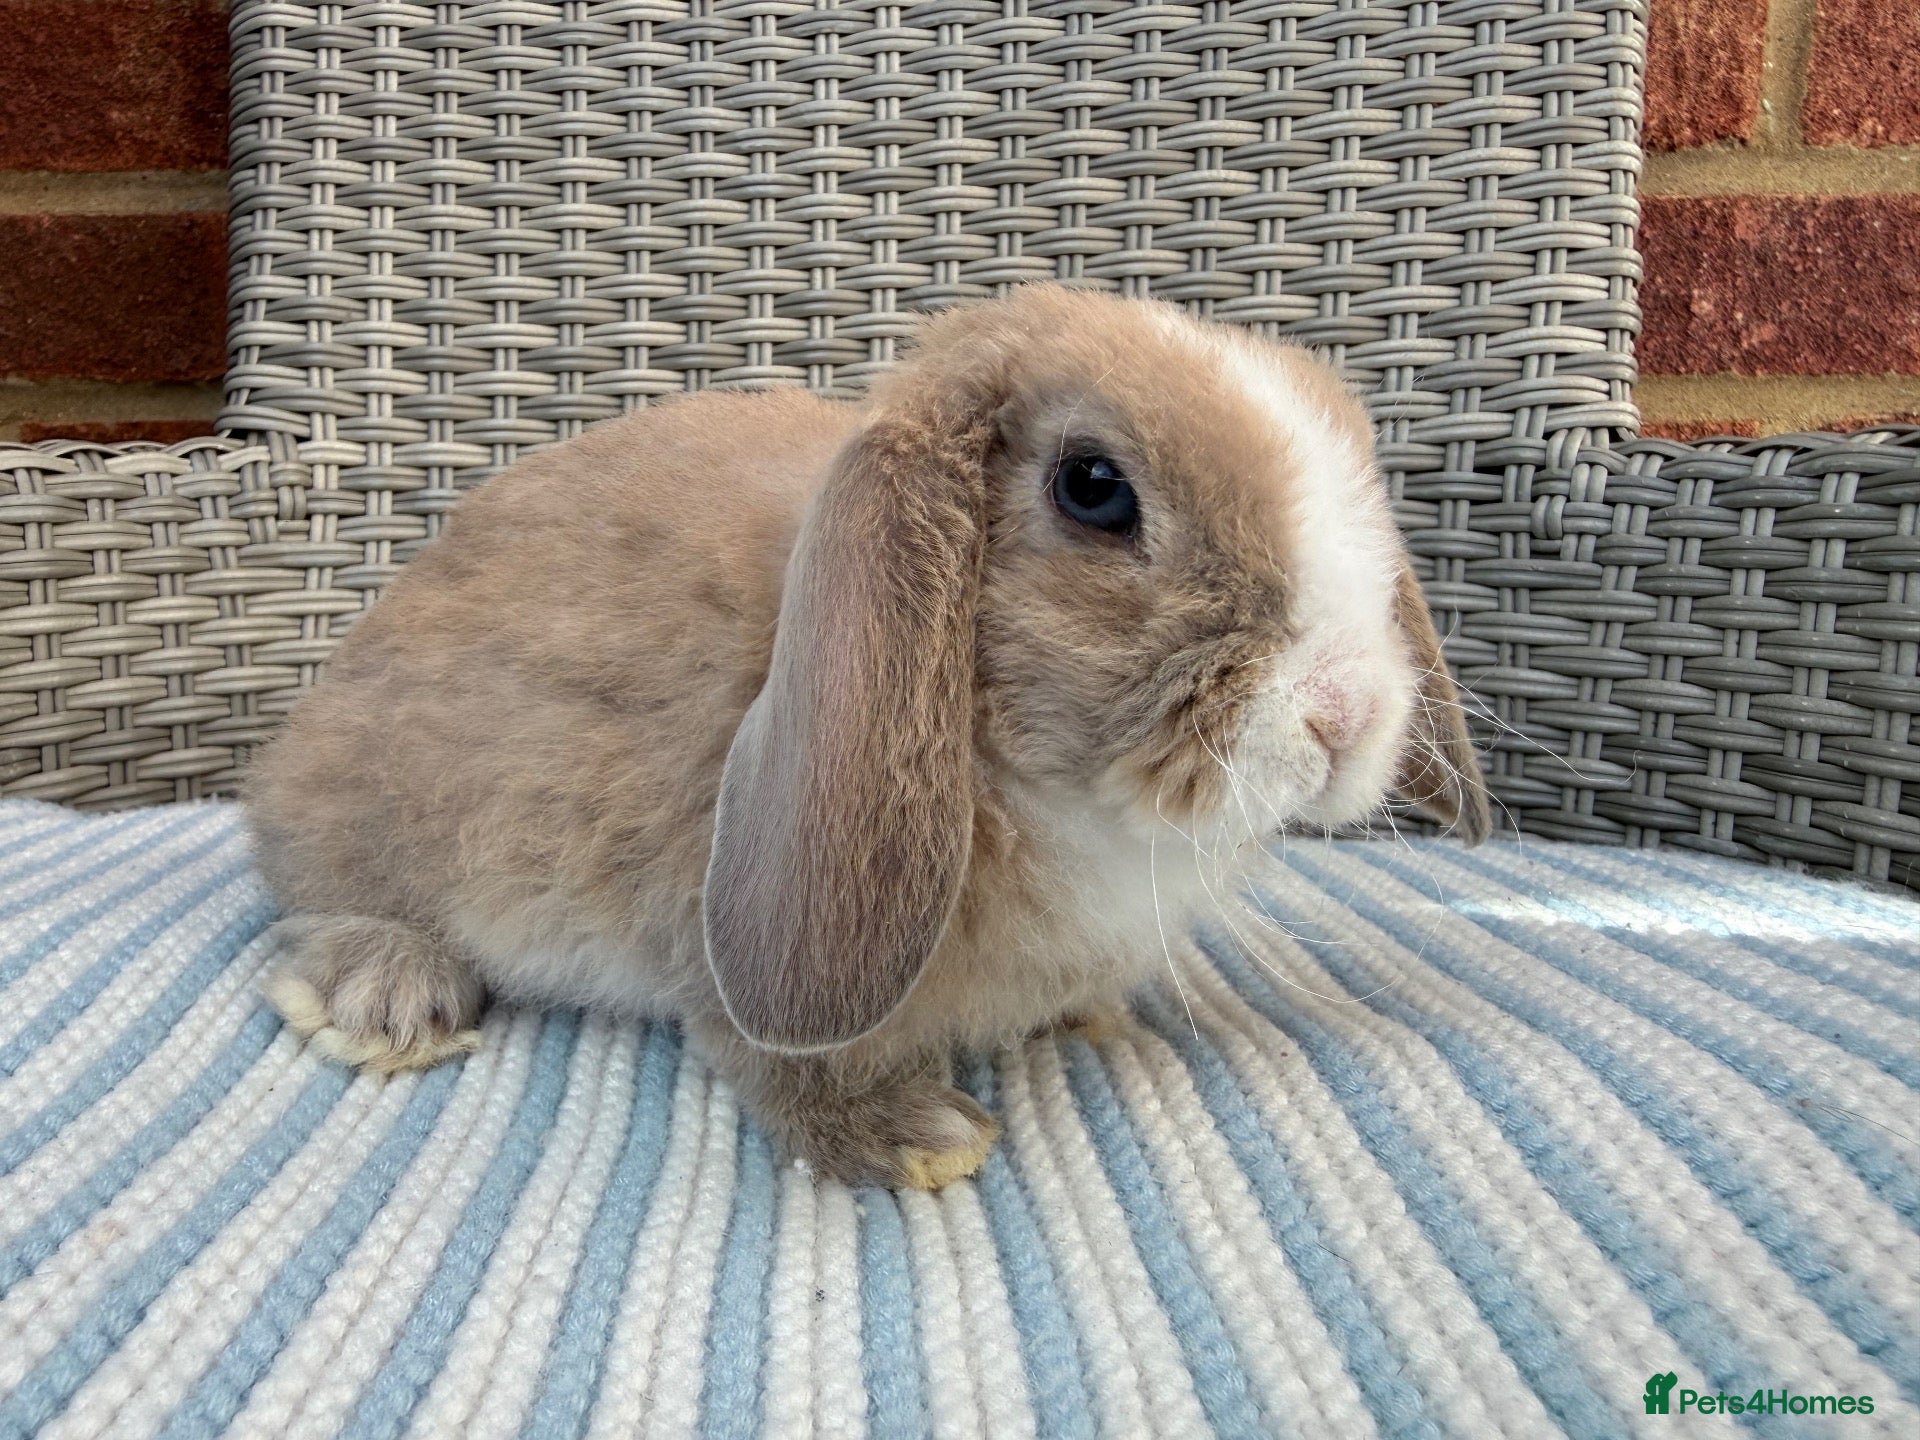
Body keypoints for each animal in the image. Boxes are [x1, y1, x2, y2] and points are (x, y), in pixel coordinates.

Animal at [245, 284, 1490, 1189]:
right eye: (1094, 488)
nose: (1345, 713)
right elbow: (785, 1058)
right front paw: (916, 1139)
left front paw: (1088, 1016)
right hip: (372, 807)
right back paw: (384, 1000)